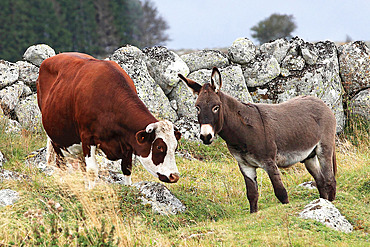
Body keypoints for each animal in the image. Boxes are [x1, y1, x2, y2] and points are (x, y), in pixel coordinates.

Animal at [36, 52, 181, 187]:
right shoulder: (87, 138)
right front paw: (91, 190)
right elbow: (92, 171)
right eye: (159, 147)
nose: (174, 176)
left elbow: (127, 169)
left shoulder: (128, 141)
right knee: (61, 164)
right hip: (56, 138)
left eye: (175, 147)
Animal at [179, 67, 338, 212]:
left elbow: (281, 193)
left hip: (324, 149)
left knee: (330, 180)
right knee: (320, 180)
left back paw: (330, 204)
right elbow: (252, 195)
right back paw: (323, 202)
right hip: (308, 156)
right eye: (197, 108)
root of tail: (320, 102)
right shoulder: (245, 165)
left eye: (215, 107)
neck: (242, 134)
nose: (206, 137)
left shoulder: (269, 162)